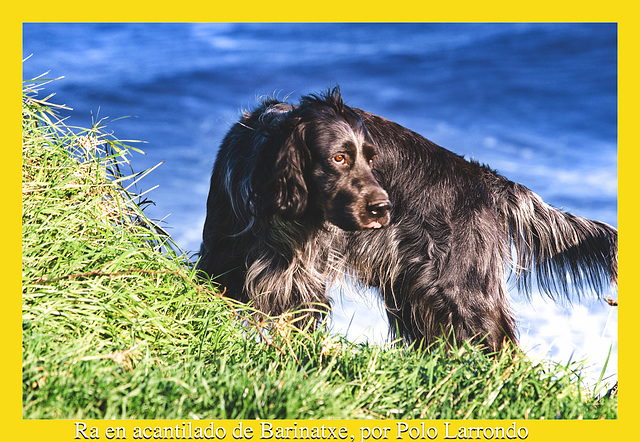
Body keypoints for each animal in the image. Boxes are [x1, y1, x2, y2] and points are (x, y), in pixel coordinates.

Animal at [198, 88, 616, 352]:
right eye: (339, 158)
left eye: (372, 158)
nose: (384, 208)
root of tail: (488, 182)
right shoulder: (223, 253)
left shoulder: (304, 280)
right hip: (416, 291)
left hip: (461, 290)